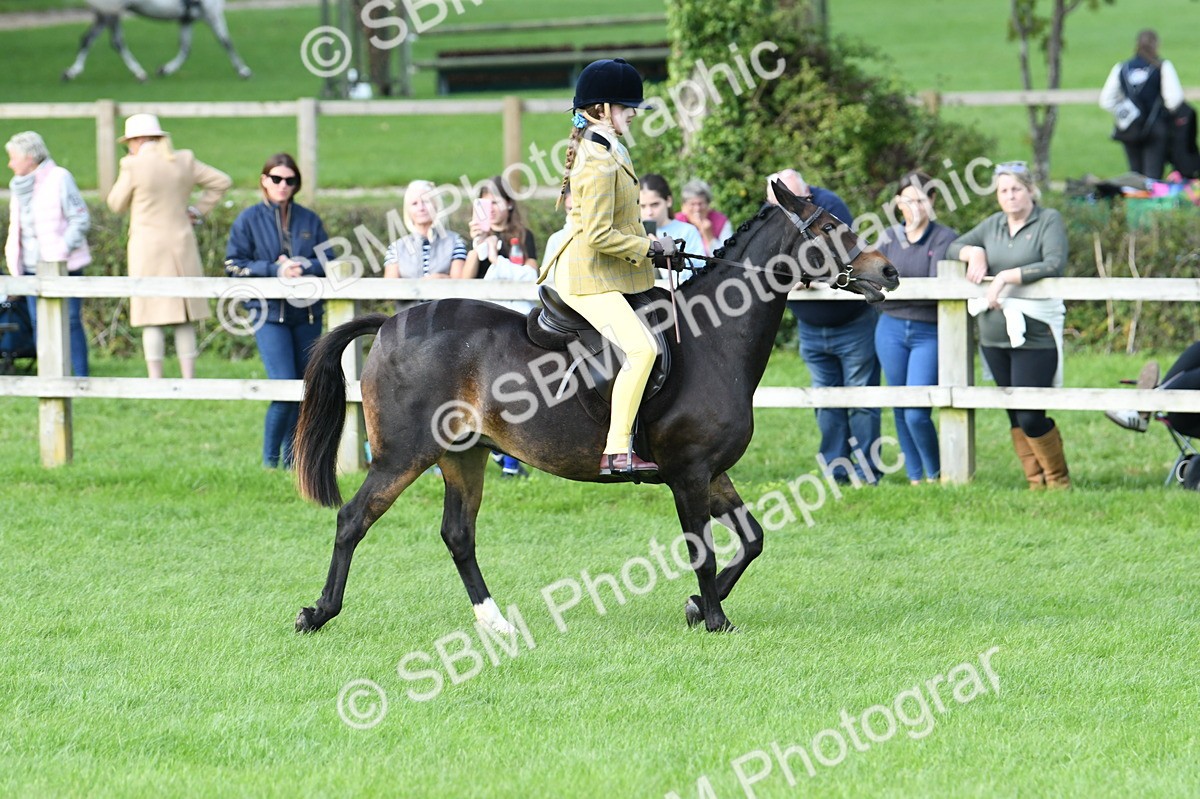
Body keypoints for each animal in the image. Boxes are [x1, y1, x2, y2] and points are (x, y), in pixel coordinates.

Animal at [63, 0, 252, 82]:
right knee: (115, 42)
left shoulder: (186, 19)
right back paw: (138, 72)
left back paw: (71, 72)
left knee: (90, 39)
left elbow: (185, 48)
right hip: (111, 11)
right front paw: (243, 70)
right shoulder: (212, 12)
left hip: (107, 13)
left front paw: (165, 69)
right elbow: (226, 42)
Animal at [291, 180, 899, 635]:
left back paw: (495, 623)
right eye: (829, 228)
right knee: (353, 519)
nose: (888, 272)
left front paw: (697, 607)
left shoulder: (712, 471)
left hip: (464, 455)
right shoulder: (688, 473)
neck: (713, 340)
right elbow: (702, 550)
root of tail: (391, 322)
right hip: (403, 455)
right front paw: (715, 619)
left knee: (458, 535)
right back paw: (318, 613)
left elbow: (752, 539)